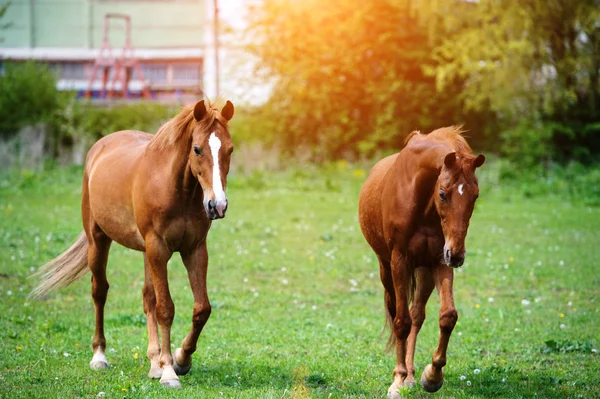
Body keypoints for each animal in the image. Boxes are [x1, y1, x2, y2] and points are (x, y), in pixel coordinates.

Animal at [31, 100, 236, 390]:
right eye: (197, 149)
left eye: (230, 149)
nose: (217, 206)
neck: (177, 189)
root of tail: (100, 147)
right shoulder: (158, 248)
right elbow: (166, 309)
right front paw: (170, 372)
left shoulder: (194, 250)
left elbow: (201, 309)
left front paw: (180, 360)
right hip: (99, 242)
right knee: (100, 292)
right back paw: (100, 356)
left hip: (146, 253)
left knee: (147, 297)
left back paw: (154, 362)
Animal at [358, 127, 486, 396]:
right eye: (443, 193)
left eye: (476, 196)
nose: (458, 255)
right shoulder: (399, 260)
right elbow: (400, 322)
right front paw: (397, 381)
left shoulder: (440, 261)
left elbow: (447, 316)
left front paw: (432, 376)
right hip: (386, 268)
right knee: (397, 311)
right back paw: (403, 376)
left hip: (425, 270)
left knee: (417, 315)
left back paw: (412, 375)